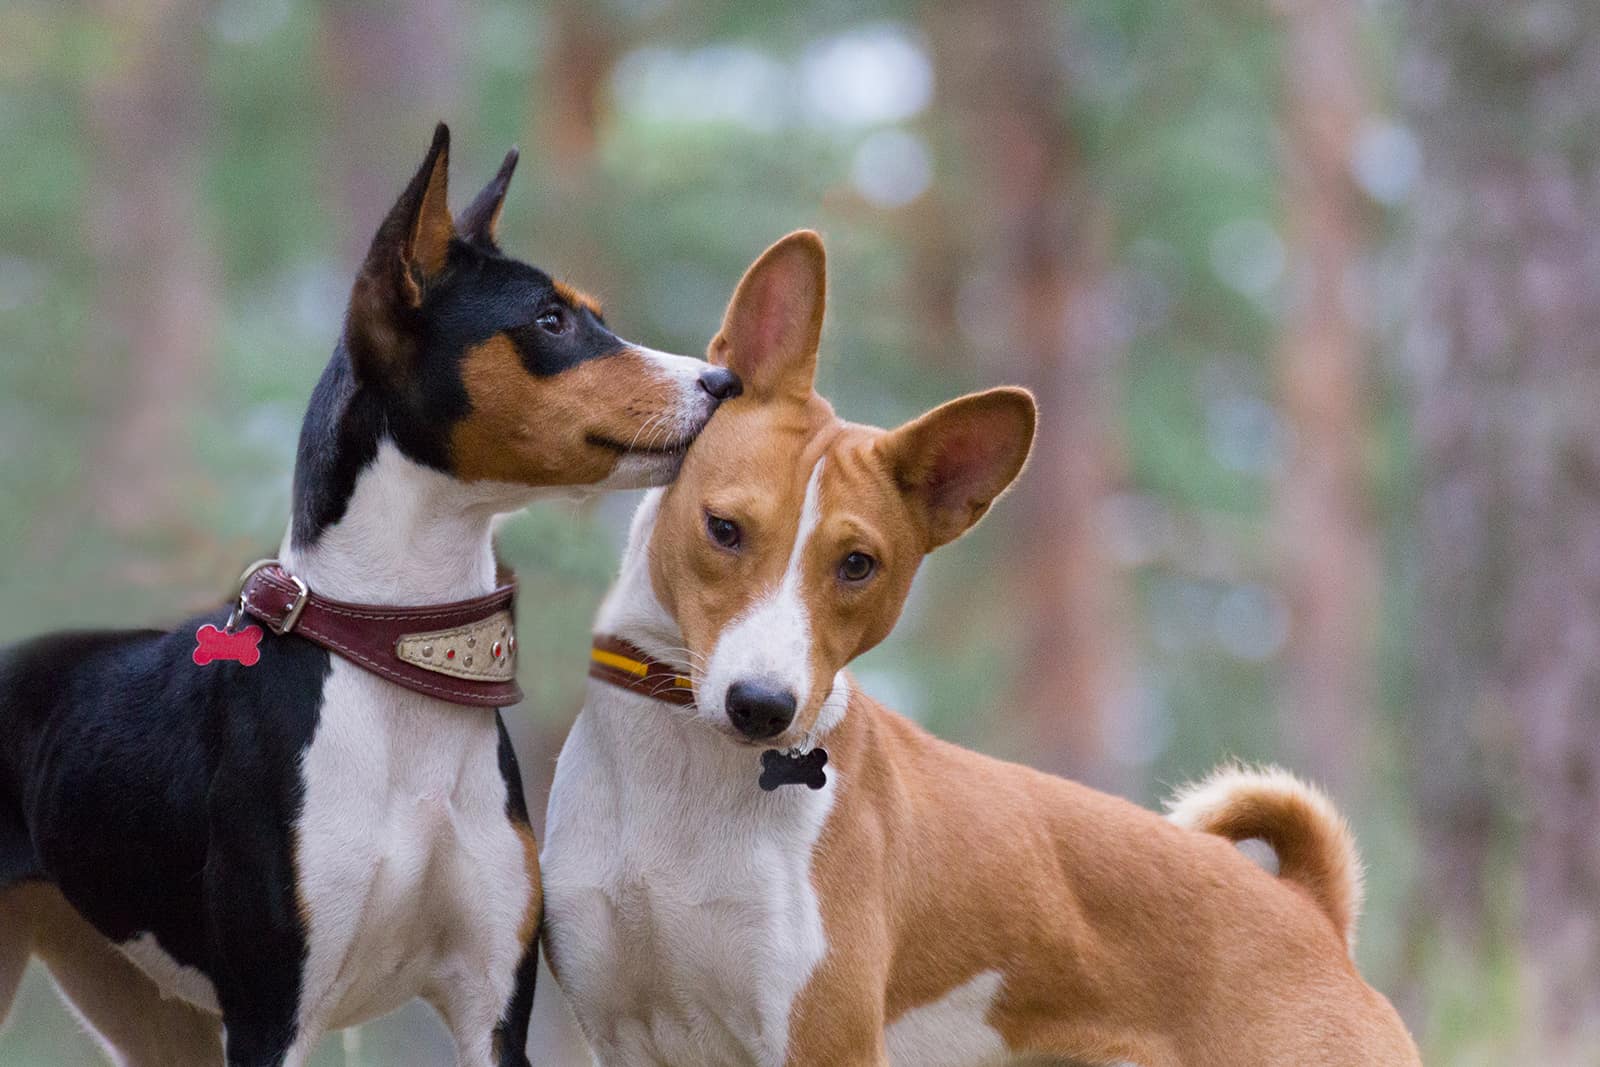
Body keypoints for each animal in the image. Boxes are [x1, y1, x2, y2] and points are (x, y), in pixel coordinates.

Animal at [0, 127, 736, 1067]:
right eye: (550, 319)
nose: (724, 382)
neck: (395, 655)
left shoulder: (494, 1007)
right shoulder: (270, 1014)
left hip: (144, 1005)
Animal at [544, 233, 1420, 1067]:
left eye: (857, 564)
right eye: (723, 528)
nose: (762, 705)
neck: (675, 786)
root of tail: (1310, 907)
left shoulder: (825, 1039)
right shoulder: (621, 1032)